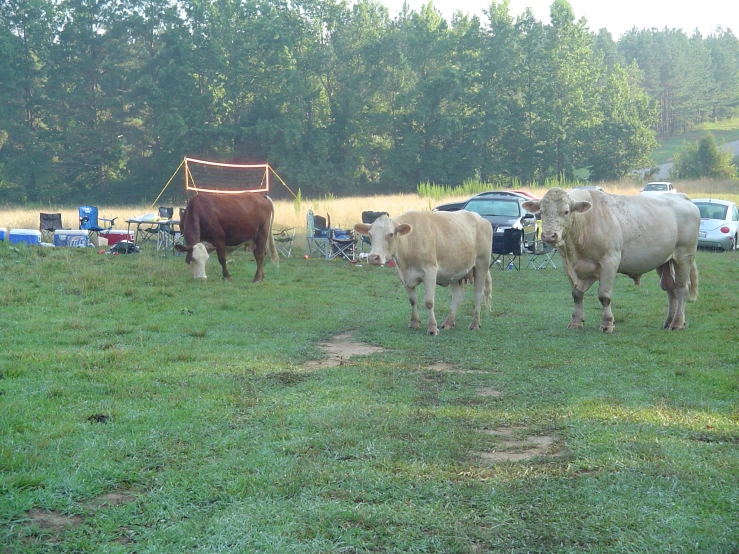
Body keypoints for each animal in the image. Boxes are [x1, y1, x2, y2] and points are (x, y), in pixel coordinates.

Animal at [356, 210, 494, 332]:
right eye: (370, 234)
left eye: (390, 234)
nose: (373, 257)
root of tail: (481, 218)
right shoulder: (404, 275)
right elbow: (412, 300)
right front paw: (414, 323)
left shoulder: (430, 272)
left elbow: (429, 302)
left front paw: (432, 328)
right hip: (455, 271)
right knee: (458, 296)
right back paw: (448, 322)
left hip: (481, 264)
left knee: (478, 295)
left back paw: (475, 324)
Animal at [524, 185, 704, 332]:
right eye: (541, 212)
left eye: (566, 211)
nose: (549, 236)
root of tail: (681, 196)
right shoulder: (570, 266)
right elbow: (576, 295)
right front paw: (576, 322)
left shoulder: (610, 262)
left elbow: (604, 296)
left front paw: (607, 323)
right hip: (664, 260)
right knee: (670, 288)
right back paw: (668, 321)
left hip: (684, 255)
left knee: (681, 288)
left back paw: (678, 323)